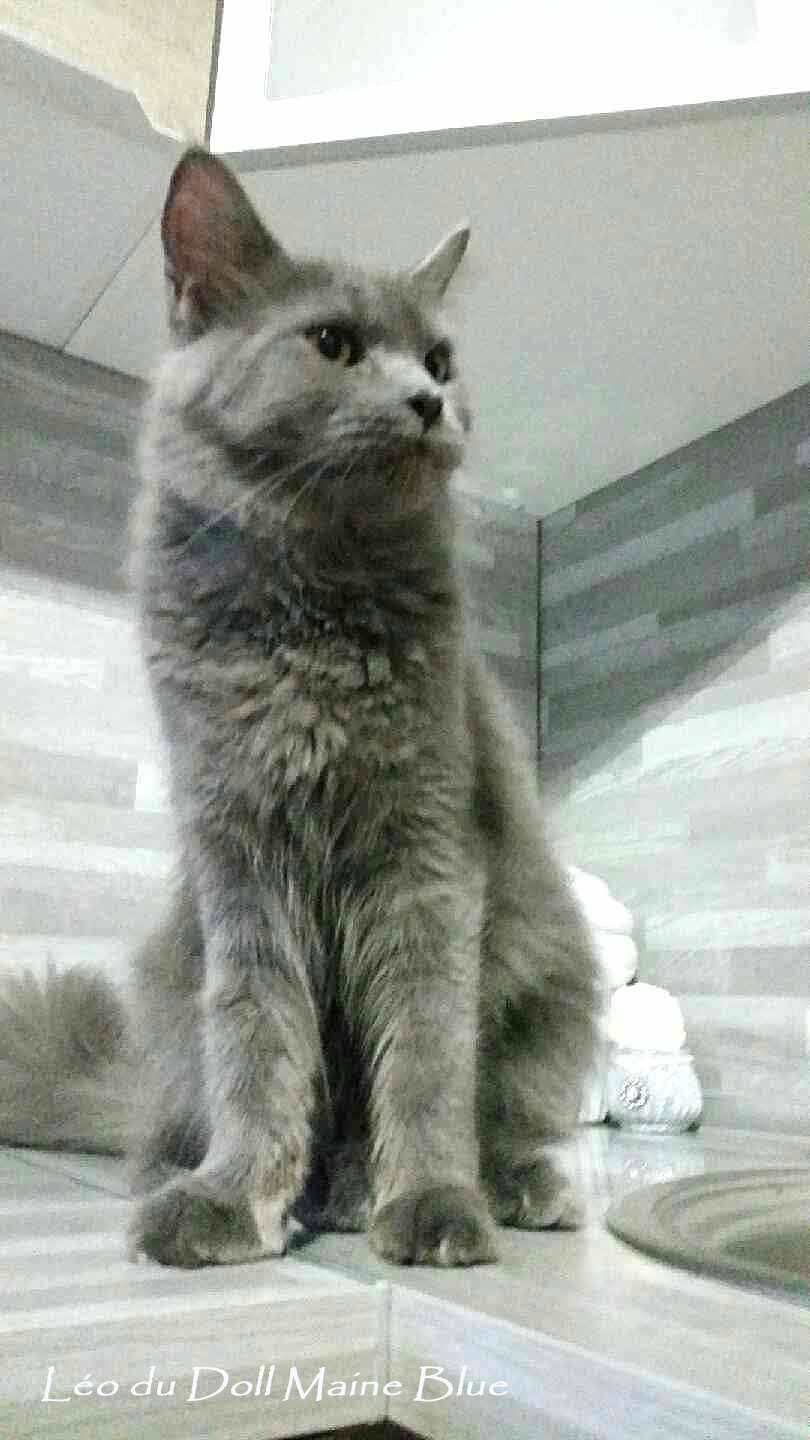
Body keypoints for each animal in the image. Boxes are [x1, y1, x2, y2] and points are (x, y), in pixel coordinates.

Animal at [0, 149, 598, 1268]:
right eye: (333, 344)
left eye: (440, 359)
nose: (427, 401)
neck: (306, 613)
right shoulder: (240, 857)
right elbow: (258, 1044)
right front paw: (238, 1197)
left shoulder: (426, 853)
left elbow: (427, 1053)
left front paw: (433, 1201)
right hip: (174, 972)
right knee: (173, 1119)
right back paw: (249, 1181)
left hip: (551, 974)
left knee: (502, 1111)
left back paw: (486, 1185)